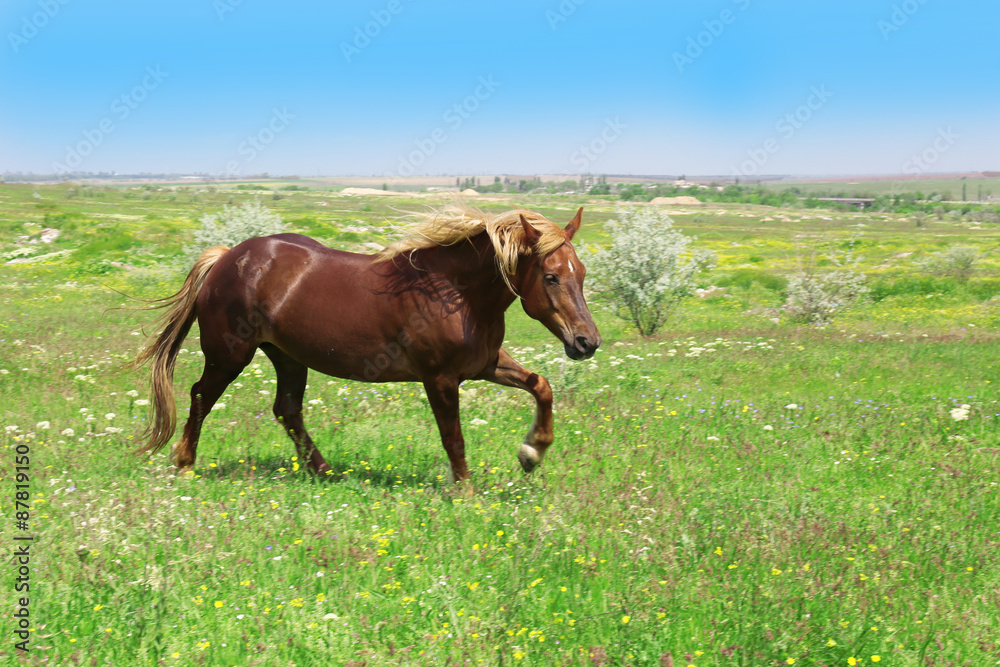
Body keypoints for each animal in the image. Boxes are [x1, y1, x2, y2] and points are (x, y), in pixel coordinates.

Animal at [134, 205, 601, 482]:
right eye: (551, 276)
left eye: (580, 273)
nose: (587, 342)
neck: (455, 292)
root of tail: (226, 258)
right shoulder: (440, 378)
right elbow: (453, 436)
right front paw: (465, 491)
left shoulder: (485, 364)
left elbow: (541, 386)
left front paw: (532, 452)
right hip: (230, 354)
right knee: (200, 396)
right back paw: (185, 463)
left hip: (288, 356)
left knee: (287, 409)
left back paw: (324, 472)